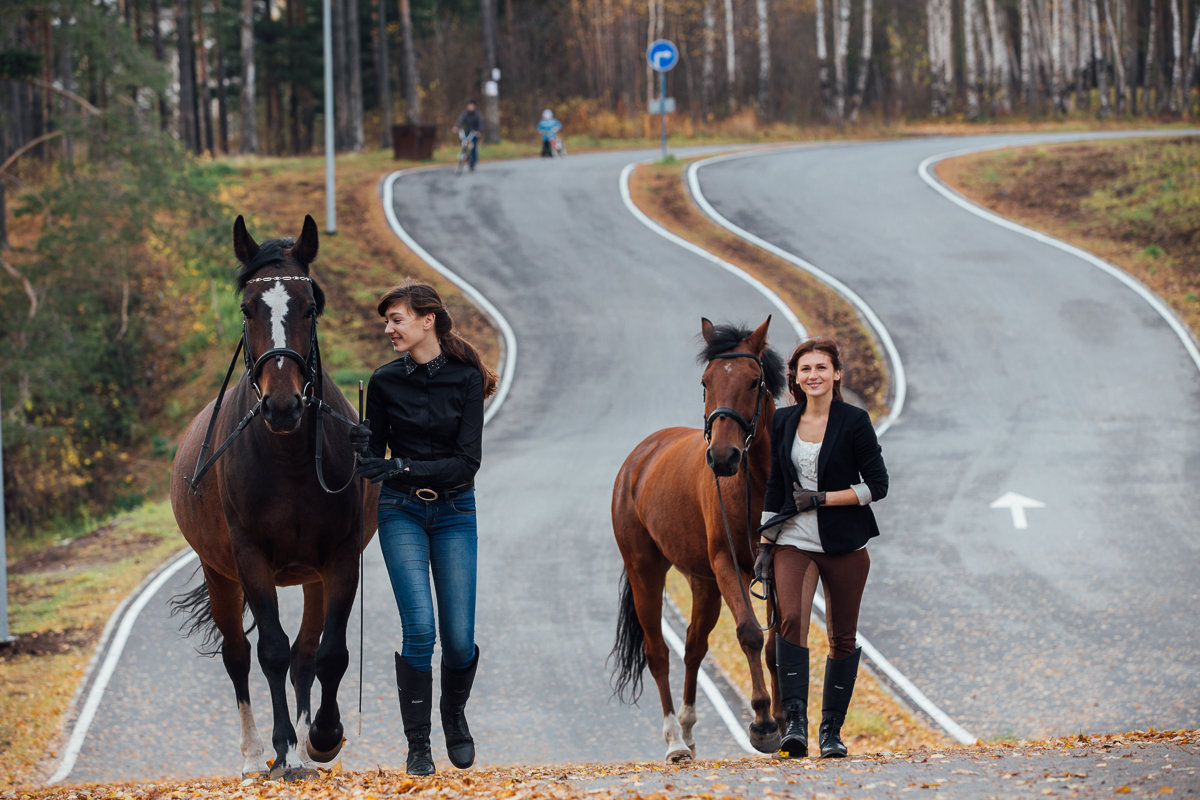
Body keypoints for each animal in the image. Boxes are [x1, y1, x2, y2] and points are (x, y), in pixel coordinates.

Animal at [169, 215, 379, 777]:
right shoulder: (249, 559)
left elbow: (328, 654)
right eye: (247, 308)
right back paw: (252, 754)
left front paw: (320, 738)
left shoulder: (339, 559)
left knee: (306, 653)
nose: (282, 405)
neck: (288, 462)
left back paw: (307, 746)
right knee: (238, 654)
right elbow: (269, 651)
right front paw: (281, 747)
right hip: (218, 572)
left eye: (310, 306)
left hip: (310, 576)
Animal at [609, 316, 787, 762]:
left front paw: (784, 722)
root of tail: (641, 457)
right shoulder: (729, 564)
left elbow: (775, 645)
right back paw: (675, 740)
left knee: (693, 646)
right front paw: (762, 723)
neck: (756, 483)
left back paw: (688, 732)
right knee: (658, 652)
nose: (722, 457)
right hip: (646, 571)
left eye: (754, 381)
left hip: (703, 583)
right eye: (706, 381)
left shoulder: (773, 564)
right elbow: (749, 633)